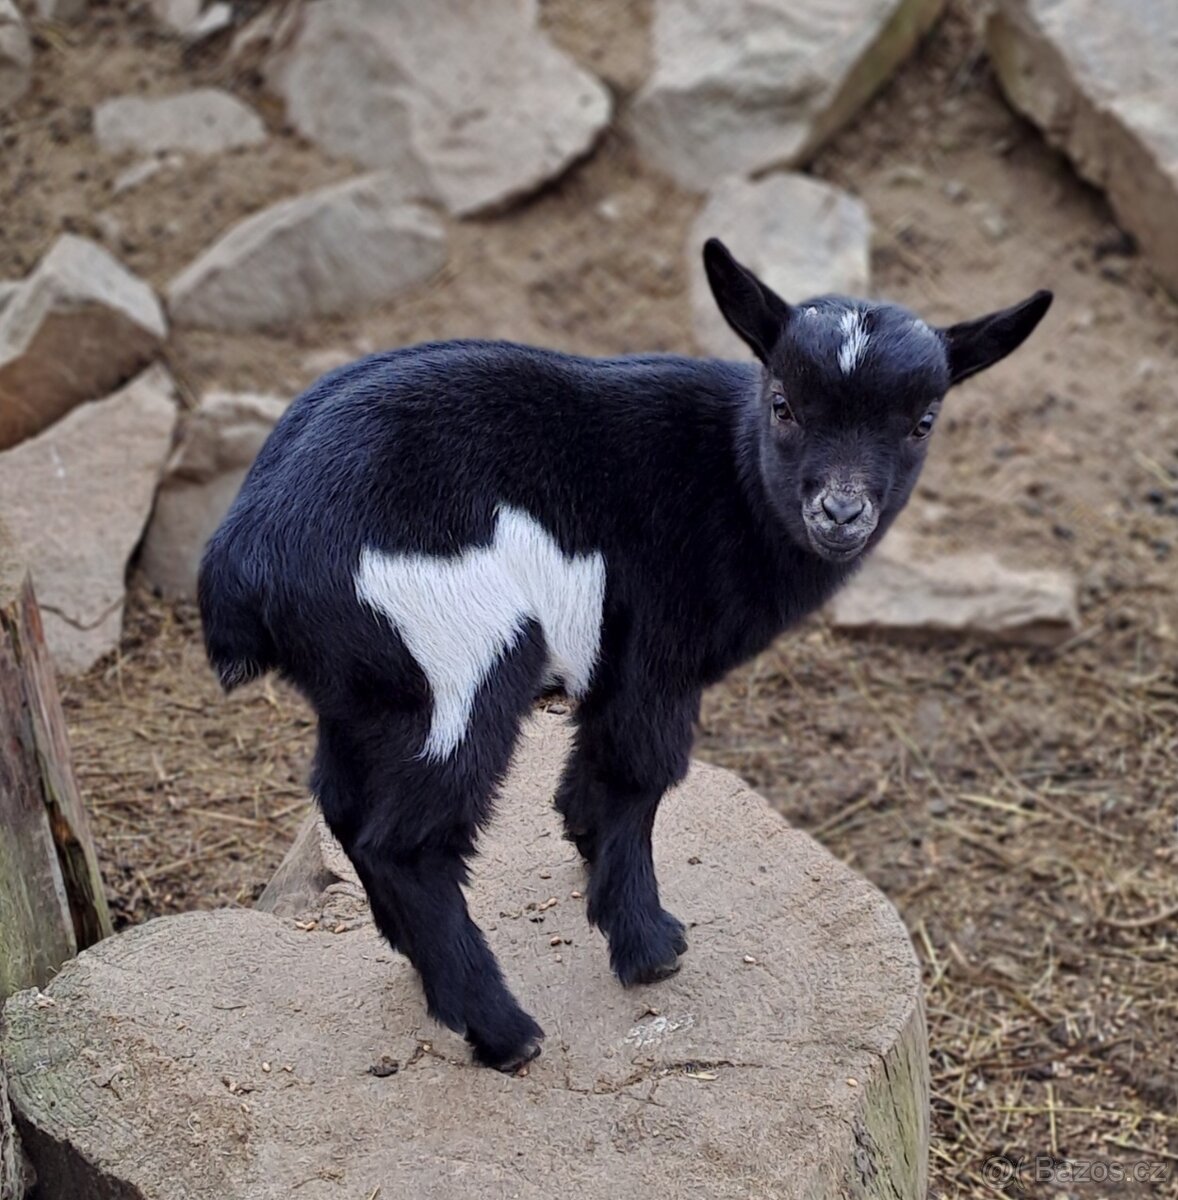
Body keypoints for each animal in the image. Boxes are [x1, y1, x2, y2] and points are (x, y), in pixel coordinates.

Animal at [197, 241, 1055, 1070]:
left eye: (923, 421)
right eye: (783, 404)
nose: (840, 512)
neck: (728, 477)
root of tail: (246, 549)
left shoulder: (614, 660)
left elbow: (596, 771)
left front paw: (587, 851)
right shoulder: (656, 651)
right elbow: (640, 773)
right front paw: (648, 945)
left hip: (363, 691)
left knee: (343, 803)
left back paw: (420, 968)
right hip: (459, 658)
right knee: (408, 842)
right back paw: (503, 1032)